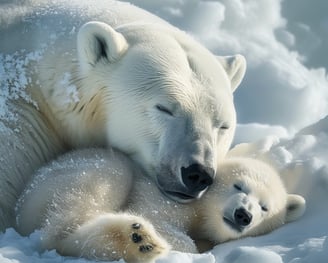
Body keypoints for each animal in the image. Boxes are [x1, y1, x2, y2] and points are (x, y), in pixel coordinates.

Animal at [15, 150, 306, 262]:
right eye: (239, 186)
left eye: (265, 207)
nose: (244, 214)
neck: (199, 208)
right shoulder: (161, 198)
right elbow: (156, 216)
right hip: (65, 180)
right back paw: (135, 238)